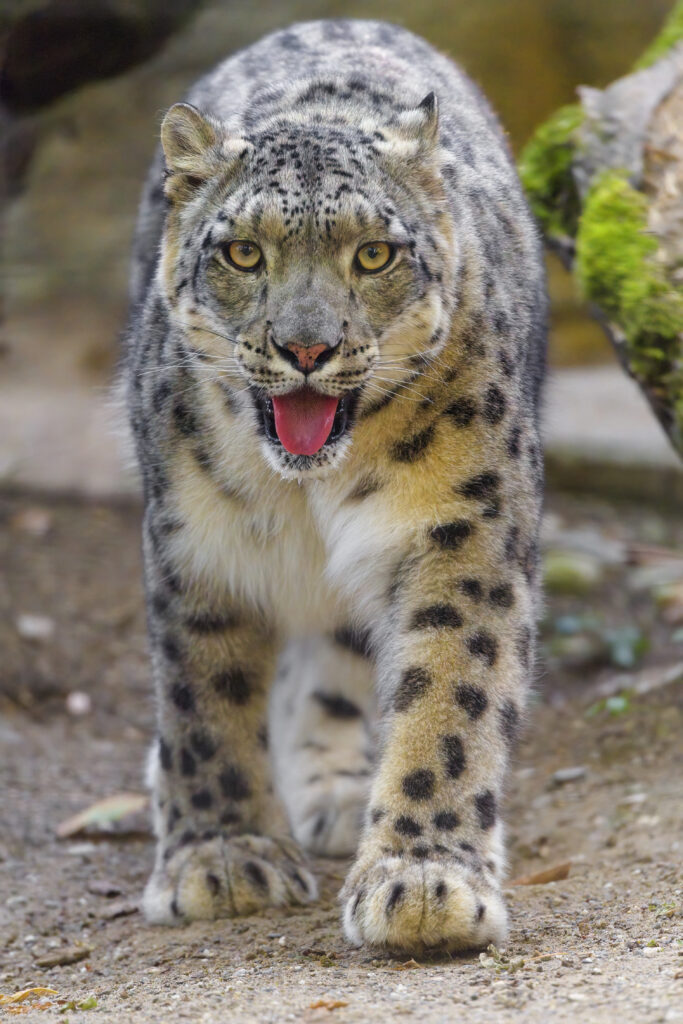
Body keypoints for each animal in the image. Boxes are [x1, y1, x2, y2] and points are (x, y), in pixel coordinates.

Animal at [122, 17, 546, 954]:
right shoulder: (194, 540)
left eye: (374, 252)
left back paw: (343, 792)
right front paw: (221, 857)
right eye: (243, 251)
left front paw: (423, 880)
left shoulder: (464, 531)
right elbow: (202, 693)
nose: (306, 348)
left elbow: (449, 695)